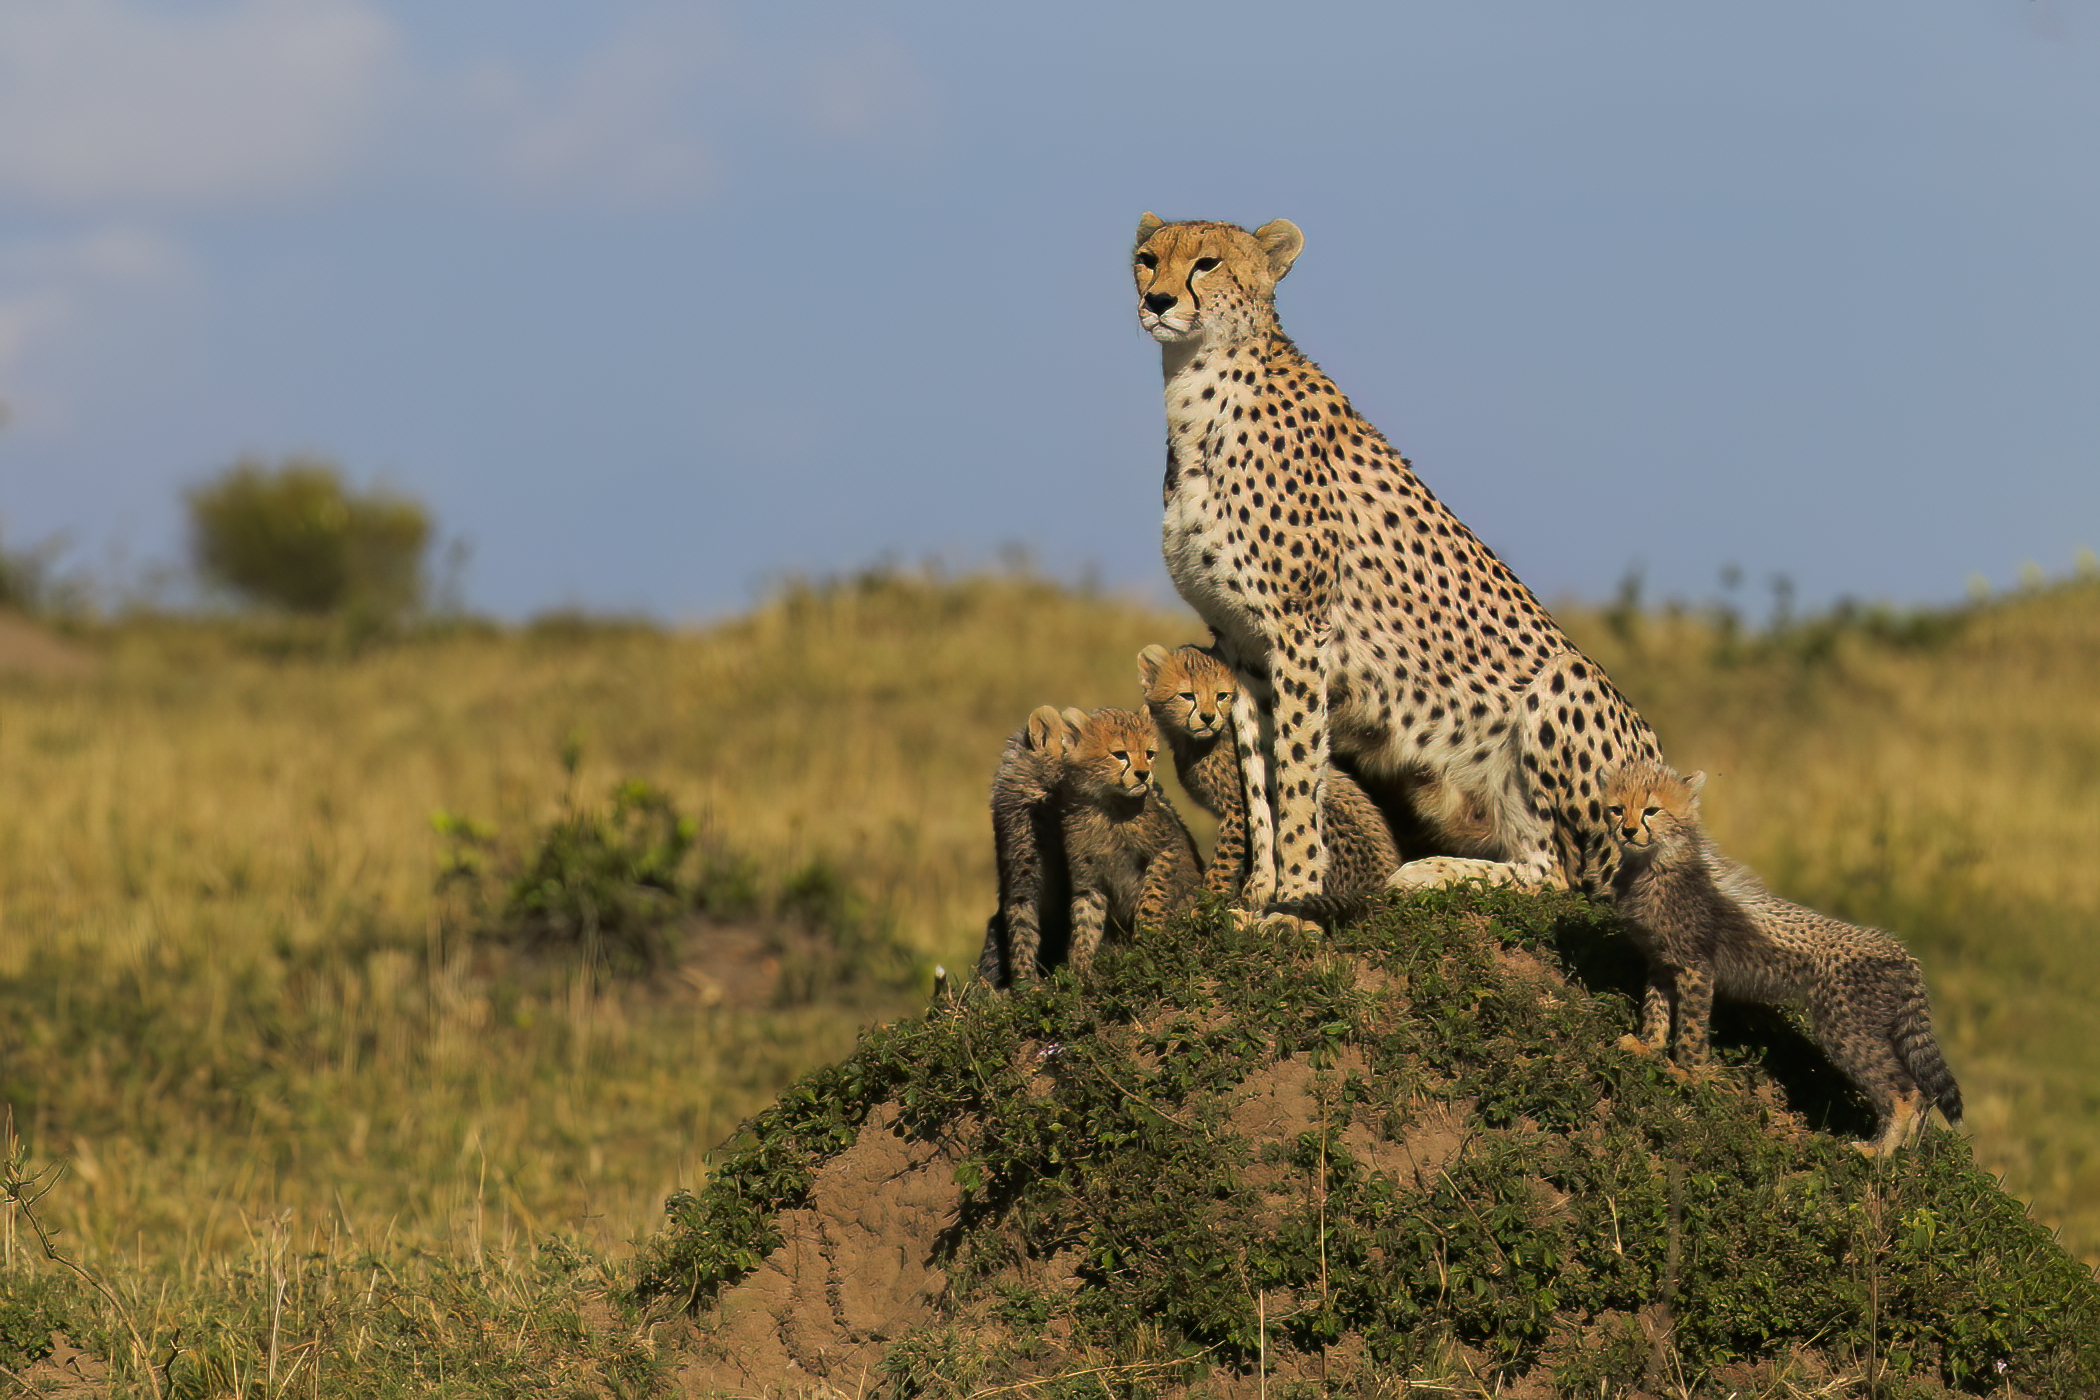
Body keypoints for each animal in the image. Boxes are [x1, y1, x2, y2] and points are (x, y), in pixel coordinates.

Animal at [1055, 706, 1203, 976]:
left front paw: (1148, 934)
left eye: (1149, 754)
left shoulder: (1167, 847)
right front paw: (1079, 968)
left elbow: (1153, 892)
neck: (1106, 806)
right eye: (1120, 754)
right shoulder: (1088, 877)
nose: (1144, 774)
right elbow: (1085, 921)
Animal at [1139, 641, 1399, 922]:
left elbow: (1226, 858)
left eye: (1222, 695)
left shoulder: (1237, 807)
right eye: (1188, 695)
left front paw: (1209, 900)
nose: (1208, 717)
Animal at [1604, 758, 1963, 1157]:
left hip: (1847, 1028)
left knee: (1905, 1090)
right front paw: (1646, 1045)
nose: (1628, 830)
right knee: (1921, 1094)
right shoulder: (1662, 961)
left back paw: (1878, 1151)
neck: (1654, 865)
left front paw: (1689, 1073)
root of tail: (1898, 949)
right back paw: (1904, 1150)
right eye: (1617, 809)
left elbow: (1692, 1026)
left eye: (1652, 810)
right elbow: (1656, 1008)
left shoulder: (1696, 967)